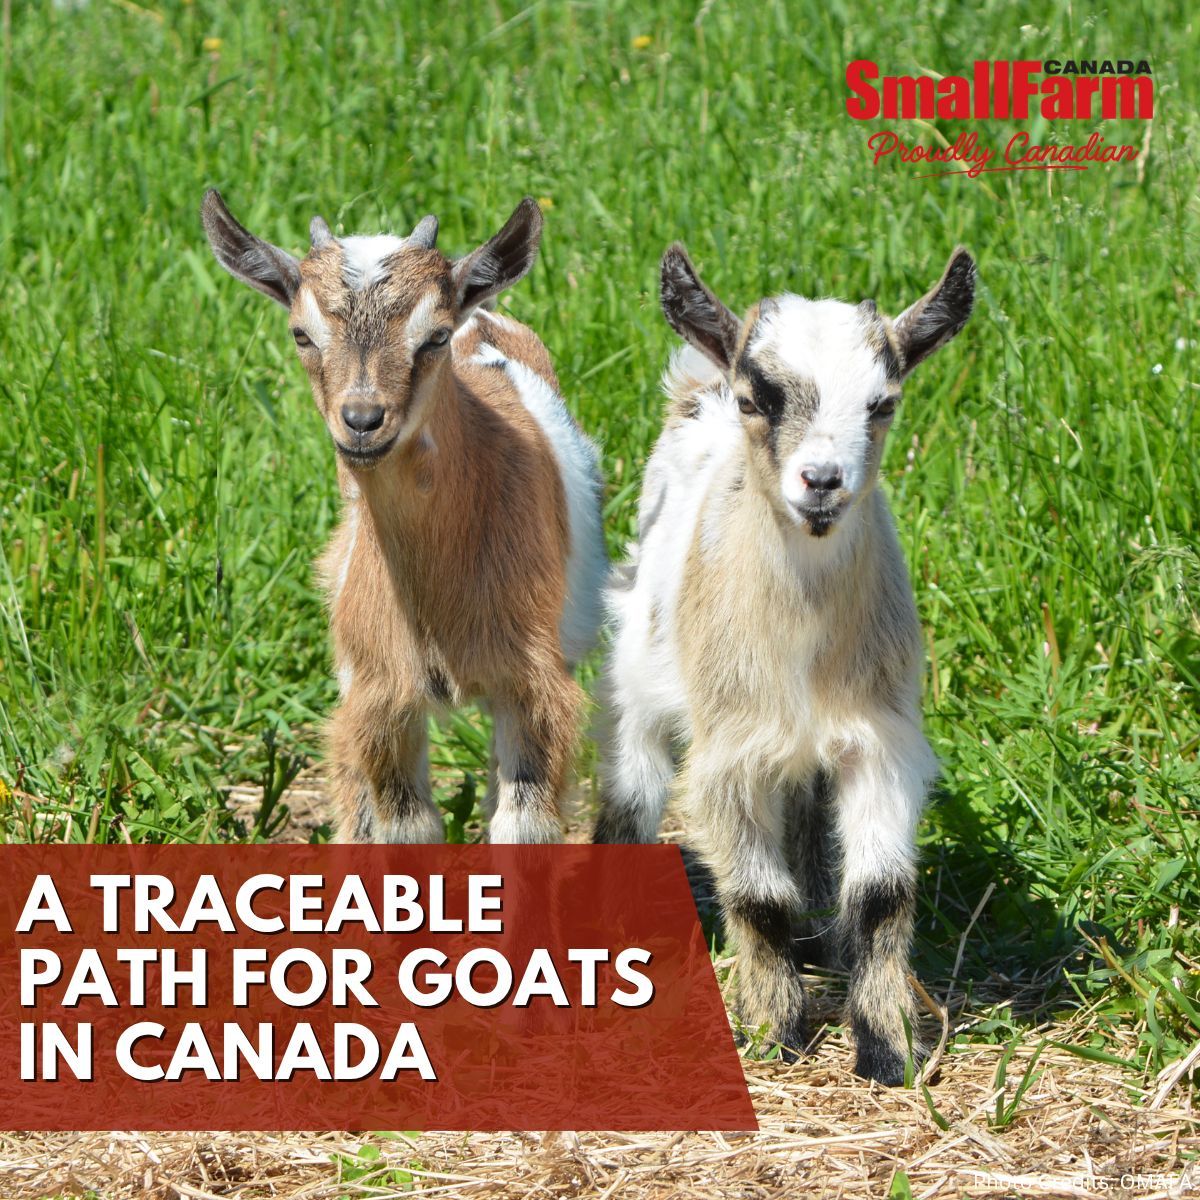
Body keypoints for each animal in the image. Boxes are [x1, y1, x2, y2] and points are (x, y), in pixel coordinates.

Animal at [202, 191, 606, 844]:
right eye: (301, 334)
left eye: (434, 336)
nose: (363, 420)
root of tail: (484, 315)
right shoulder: (382, 695)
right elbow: (405, 825)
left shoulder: (535, 687)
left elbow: (522, 824)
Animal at [593, 243, 975, 1083]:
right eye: (759, 397)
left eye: (883, 403)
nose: (822, 481)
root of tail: (695, 385)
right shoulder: (730, 753)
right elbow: (758, 898)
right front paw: (775, 1033)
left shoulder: (878, 741)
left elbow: (882, 895)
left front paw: (888, 1047)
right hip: (637, 676)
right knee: (631, 788)